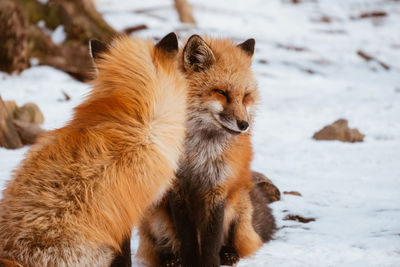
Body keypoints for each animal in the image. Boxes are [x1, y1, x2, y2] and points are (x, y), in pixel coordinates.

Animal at [137, 35, 276, 267]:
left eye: (245, 97)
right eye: (221, 92)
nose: (244, 125)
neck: (198, 154)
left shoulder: (217, 189)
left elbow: (211, 241)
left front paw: (210, 262)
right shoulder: (177, 189)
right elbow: (188, 239)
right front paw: (189, 261)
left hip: (238, 206)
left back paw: (229, 254)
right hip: (155, 213)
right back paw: (171, 259)